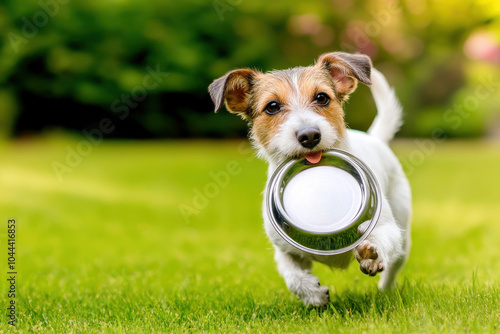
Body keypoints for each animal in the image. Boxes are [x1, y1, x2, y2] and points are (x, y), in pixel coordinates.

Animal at [209, 51, 412, 306]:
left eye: (322, 98)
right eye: (272, 106)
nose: (309, 135)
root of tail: (375, 138)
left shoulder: (387, 227)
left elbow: (382, 237)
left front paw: (371, 255)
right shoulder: (284, 250)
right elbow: (292, 276)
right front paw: (313, 294)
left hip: (403, 230)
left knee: (395, 264)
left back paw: (385, 290)